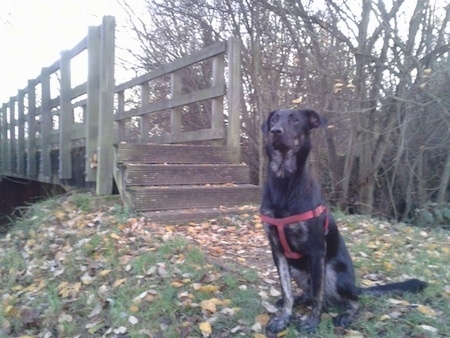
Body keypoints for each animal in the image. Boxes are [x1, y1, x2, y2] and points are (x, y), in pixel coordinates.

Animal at [258, 109, 428, 332]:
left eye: (294, 119)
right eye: (274, 119)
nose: (275, 131)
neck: (284, 181)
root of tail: (356, 286)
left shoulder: (316, 251)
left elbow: (318, 296)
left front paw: (312, 322)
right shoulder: (277, 251)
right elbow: (287, 292)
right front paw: (283, 319)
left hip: (333, 272)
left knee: (351, 300)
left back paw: (345, 316)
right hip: (298, 270)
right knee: (310, 293)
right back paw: (301, 299)